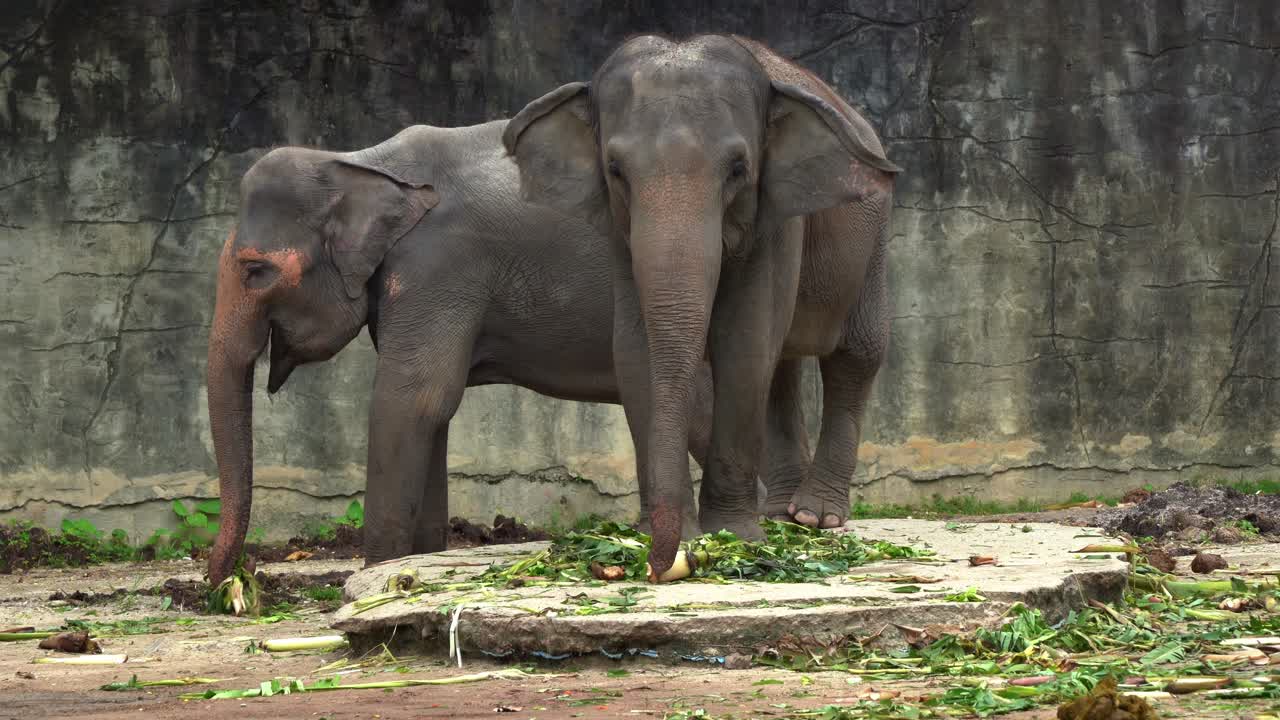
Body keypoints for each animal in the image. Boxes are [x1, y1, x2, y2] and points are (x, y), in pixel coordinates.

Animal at [205, 121, 716, 586]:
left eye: (256, 270)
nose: (230, 579)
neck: (360, 162)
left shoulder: (437, 264)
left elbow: (412, 401)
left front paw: (375, 577)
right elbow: (432, 416)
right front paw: (415, 565)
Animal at [504, 34, 900, 580]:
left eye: (738, 169)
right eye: (615, 170)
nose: (660, 567)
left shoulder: (775, 215)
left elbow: (745, 338)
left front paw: (733, 535)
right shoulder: (620, 232)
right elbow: (634, 348)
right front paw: (666, 534)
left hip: (875, 228)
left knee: (855, 353)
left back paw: (815, 517)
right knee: (782, 370)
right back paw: (781, 516)